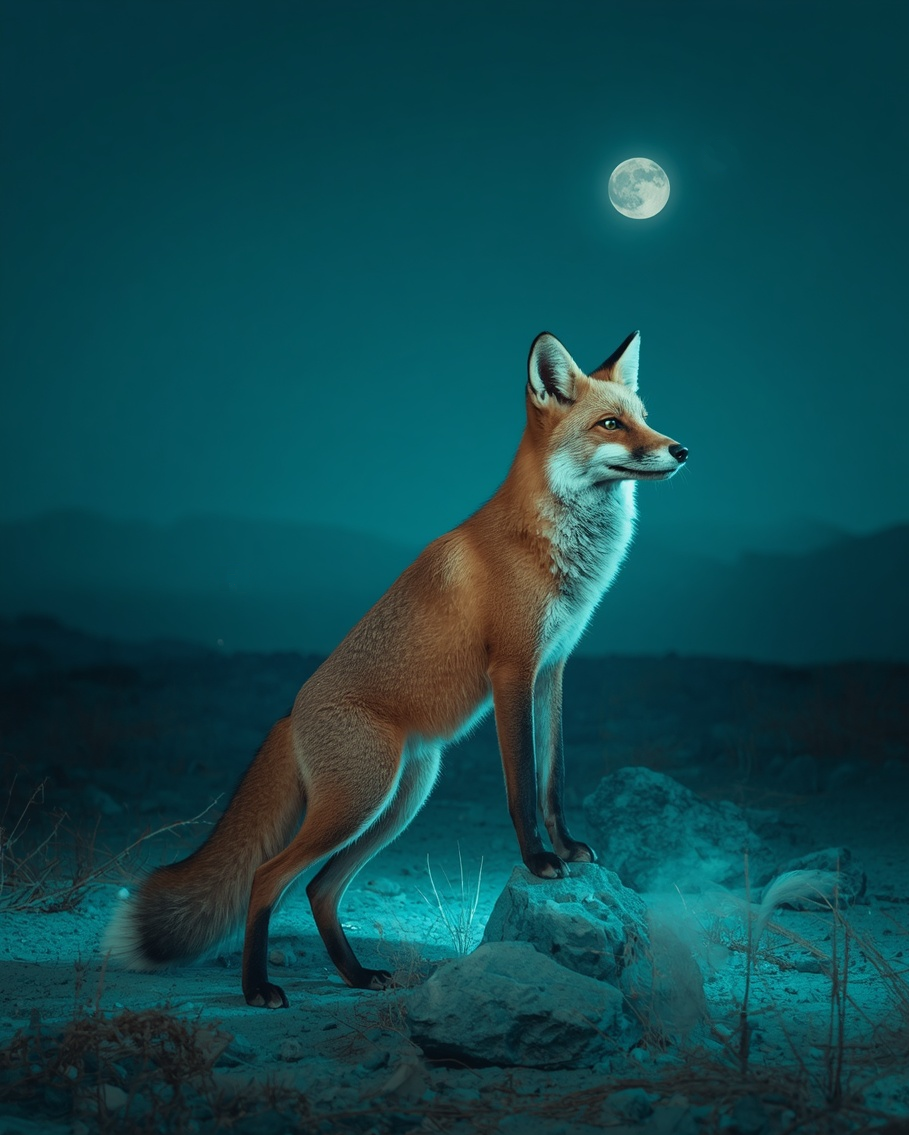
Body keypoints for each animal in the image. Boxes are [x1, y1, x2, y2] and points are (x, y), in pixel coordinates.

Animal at [105, 329, 688, 1008]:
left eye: (643, 416)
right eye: (611, 424)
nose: (680, 449)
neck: (552, 548)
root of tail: (289, 716)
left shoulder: (554, 669)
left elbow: (553, 779)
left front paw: (566, 848)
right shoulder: (513, 670)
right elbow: (521, 785)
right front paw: (540, 861)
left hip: (399, 800)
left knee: (319, 888)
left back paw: (356, 976)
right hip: (362, 800)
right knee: (269, 876)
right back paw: (257, 988)